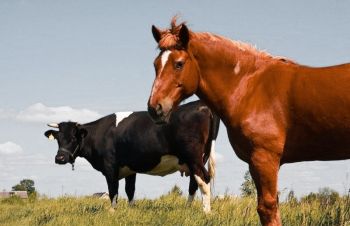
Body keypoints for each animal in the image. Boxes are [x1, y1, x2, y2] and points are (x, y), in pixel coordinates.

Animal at [43, 100, 219, 212]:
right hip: (198, 159)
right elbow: (130, 190)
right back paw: (187, 209)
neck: (99, 134)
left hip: (194, 157)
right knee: (194, 184)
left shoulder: (110, 167)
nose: (60, 159)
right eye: (58, 139)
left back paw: (206, 212)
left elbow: (113, 190)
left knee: (203, 180)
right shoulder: (130, 169)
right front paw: (131, 210)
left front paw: (112, 212)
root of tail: (202, 105)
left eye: (74, 138)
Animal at [147, 17, 350, 226]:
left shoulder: (264, 158)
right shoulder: (255, 163)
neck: (250, 86)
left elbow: (267, 208)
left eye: (178, 64)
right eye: (156, 64)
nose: (155, 108)